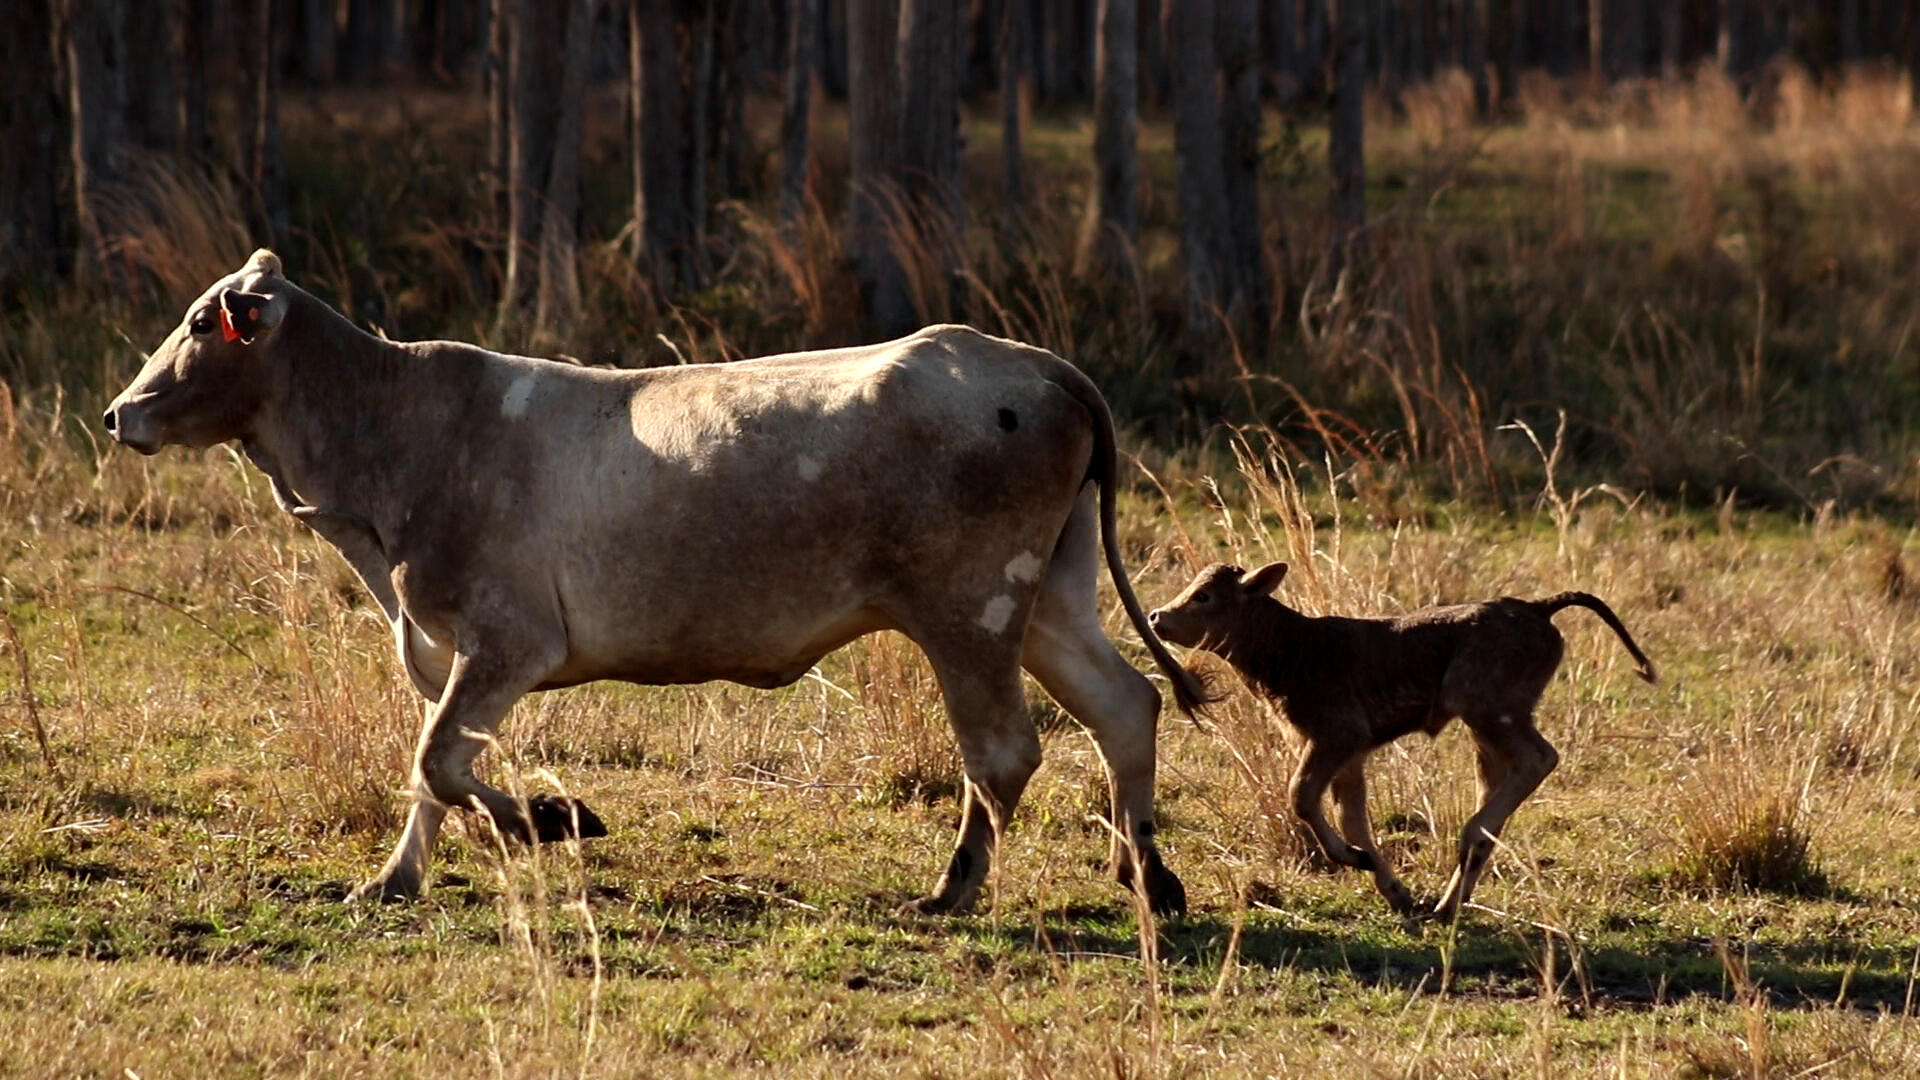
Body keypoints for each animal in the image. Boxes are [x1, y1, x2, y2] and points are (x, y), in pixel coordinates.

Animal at [103, 249, 1206, 916]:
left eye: (199, 323)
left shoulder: (506, 640)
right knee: (1126, 705)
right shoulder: (444, 646)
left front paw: (557, 820)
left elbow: (439, 762)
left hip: (970, 612)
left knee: (1004, 752)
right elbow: (429, 773)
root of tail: (1032, 361)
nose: (120, 412)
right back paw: (1149, 876)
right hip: (1050, 600)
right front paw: (393, 879)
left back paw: (954, 891)